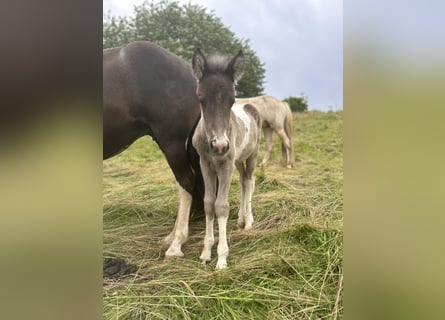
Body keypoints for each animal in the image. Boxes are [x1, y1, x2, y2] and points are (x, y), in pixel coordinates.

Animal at [191, 48, 260, 268]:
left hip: (251, 155)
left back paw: (248, 221)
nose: (219, 145)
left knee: (250, 181)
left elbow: (221, 206)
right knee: (243, 181)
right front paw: (206, 252)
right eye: (201, 99)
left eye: (231, 101)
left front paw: (221, 258)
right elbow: (208, 203)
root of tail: (249, 107)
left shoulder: (226, 164)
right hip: (238, 161)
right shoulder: (205, 164)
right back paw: (240, 218)